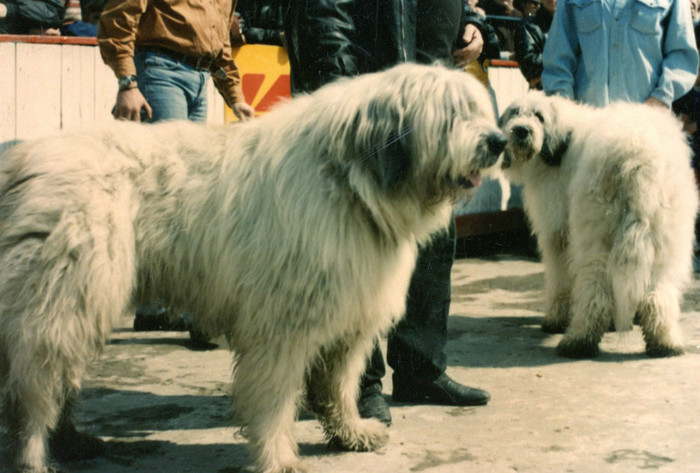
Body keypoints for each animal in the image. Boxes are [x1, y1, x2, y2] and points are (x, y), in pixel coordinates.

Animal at [0, 63, 506, 472]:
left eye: (477, 108)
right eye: (451, 113)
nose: (499, 141)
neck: (350, 179)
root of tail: (24, 159)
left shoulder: (347, 312)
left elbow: (338, 384)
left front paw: (350, 431)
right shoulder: (281, 326)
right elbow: (274, 400)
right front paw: (277, 456)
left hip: (77, 301)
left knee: (57, 378)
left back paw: (70, 440)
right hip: (62, 296)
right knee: (32, 390)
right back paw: (35, 455)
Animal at [500, 92, 696, 358]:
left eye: (538, 116)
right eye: (515, 113)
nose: (521, 130)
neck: (561, 143)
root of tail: (639, 157)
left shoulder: (558, 236)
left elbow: (560, 280)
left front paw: (556, 319)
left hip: (595, 235)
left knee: (597, 293)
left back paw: (579, 341)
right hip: (665, 239)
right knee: (658, 294)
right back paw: (665, 343)